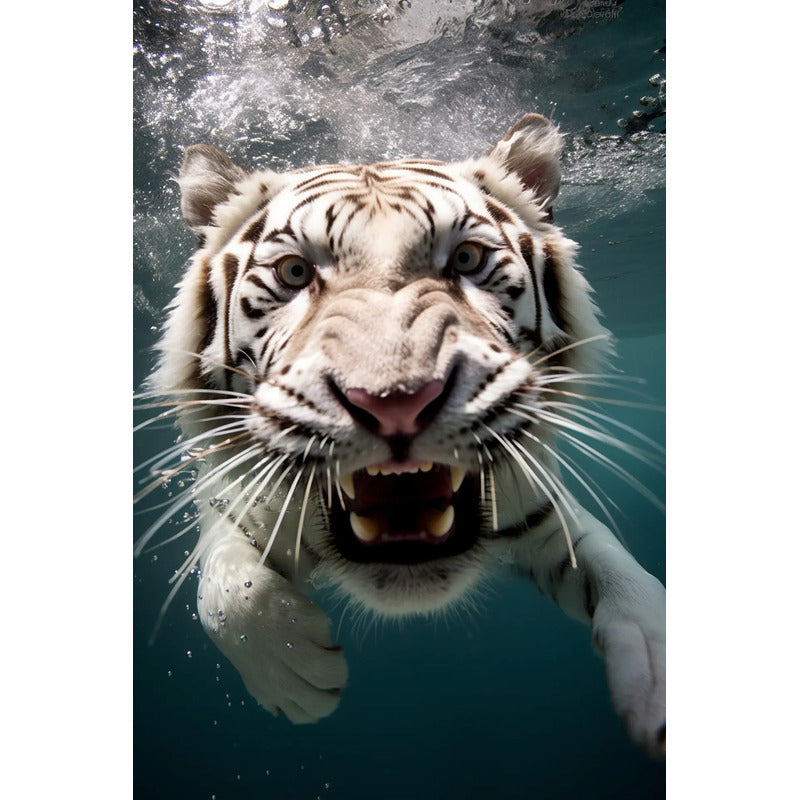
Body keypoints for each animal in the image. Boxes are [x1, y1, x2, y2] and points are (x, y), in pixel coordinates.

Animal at [138, 113, 666, 757]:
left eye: (466, 259)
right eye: (295, 272)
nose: (396, 401)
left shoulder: (543, 506)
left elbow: (621, 573)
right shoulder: (230, 501)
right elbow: (225, 591)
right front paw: (292, 674)